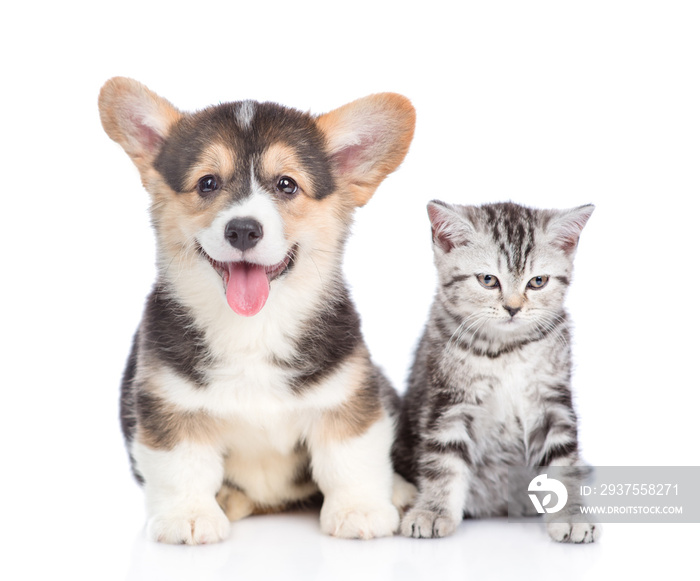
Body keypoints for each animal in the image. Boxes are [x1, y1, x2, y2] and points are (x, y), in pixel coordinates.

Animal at [98, 77, 416, 544]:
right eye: (207, 183)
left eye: (286, 185)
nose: (243, 229)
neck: (253, 328)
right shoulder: (169, 405)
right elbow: (181, 468)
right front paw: (188, 516)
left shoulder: (346, 393)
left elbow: (349, 457)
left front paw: (359, 510)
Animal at [394, 202, 596, 540]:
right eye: (488, 279)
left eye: (537, 282)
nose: (513, 308)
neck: (506, 348)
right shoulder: (449, 399)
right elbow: (443, 461)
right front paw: (432, 511)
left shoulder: (552, 400)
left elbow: (564, 462)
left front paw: (570, 516)